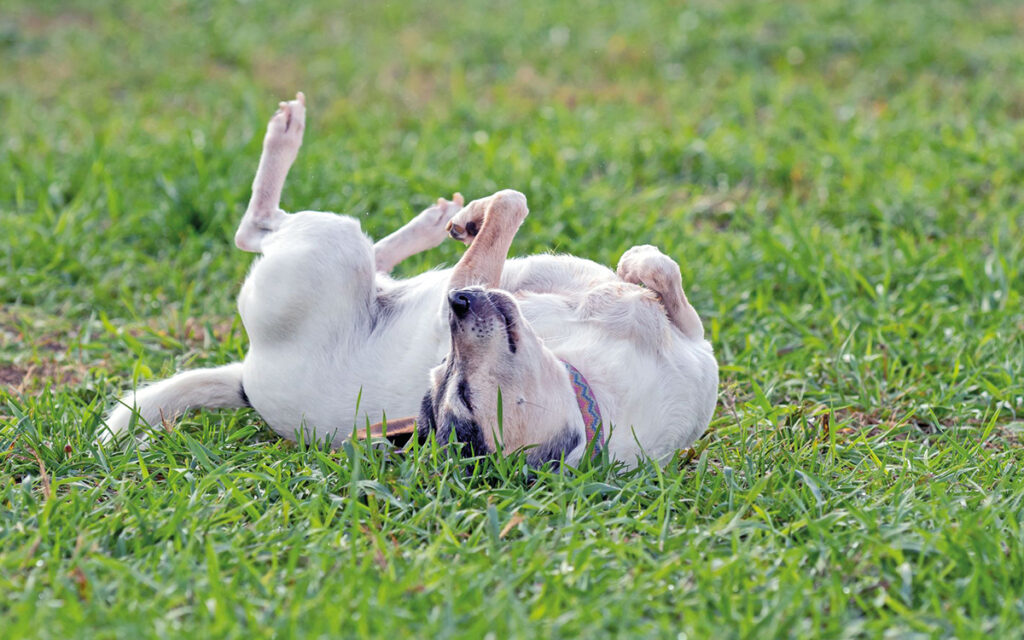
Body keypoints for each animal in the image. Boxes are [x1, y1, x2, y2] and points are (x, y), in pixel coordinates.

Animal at [99, 92, 716, 466]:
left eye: (458, 389)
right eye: (444, 369)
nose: (458, 303)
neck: (591, 386)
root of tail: (245, 380)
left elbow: (524, 213)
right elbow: (644, 265)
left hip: (327, 248)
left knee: (259, 230)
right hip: (347, 255)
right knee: (319, 246)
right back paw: (429, 219)